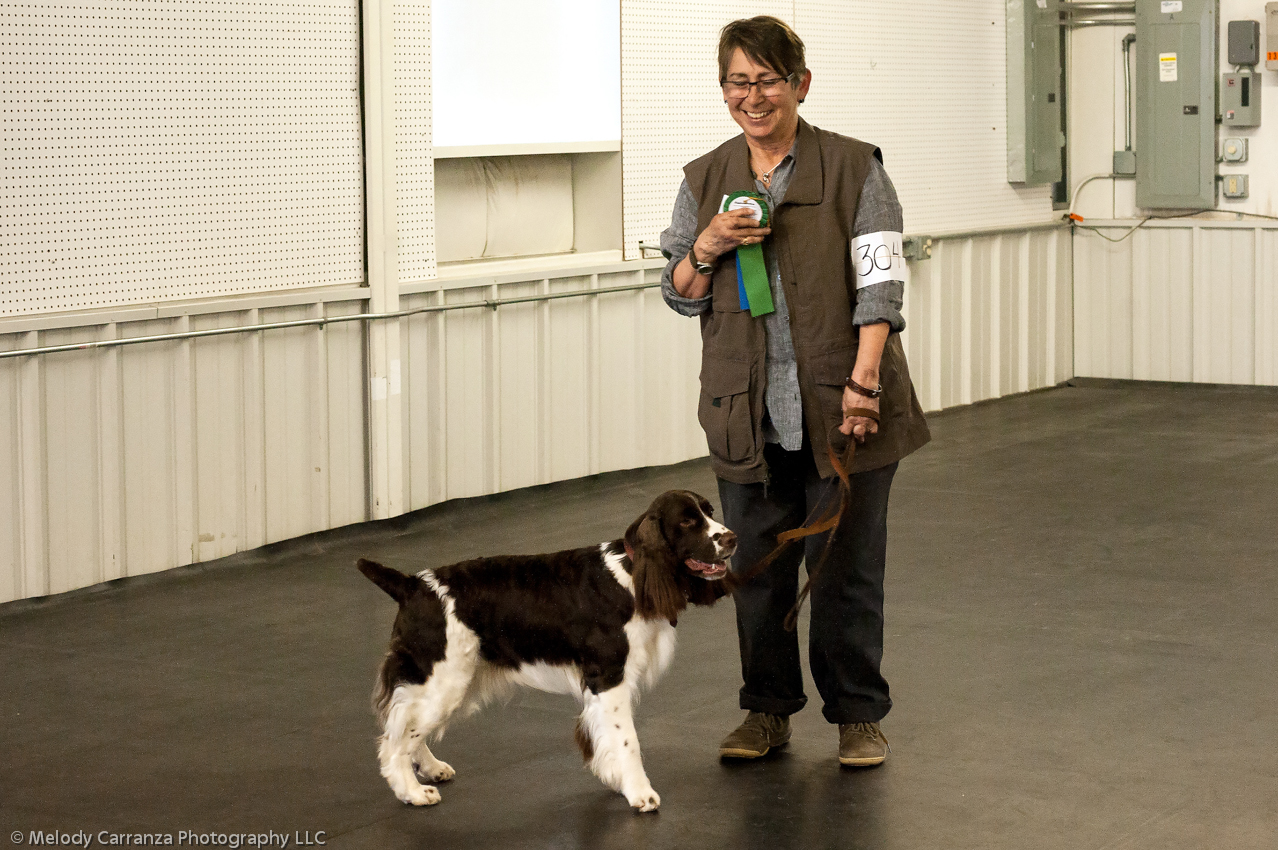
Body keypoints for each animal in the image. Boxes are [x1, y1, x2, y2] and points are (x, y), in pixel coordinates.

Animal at [360, 488, 741, 812]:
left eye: (709, 511)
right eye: (688, 522)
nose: (732, 539)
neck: (632, 576)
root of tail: (412, 585)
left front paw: (617, 780)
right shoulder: (609, 676)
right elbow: (627, 740)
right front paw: (640, 793)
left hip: (453, 679)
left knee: (409, 726)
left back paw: (432, 768)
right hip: (442, 677)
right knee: (394, 740)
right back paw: (412, 792)